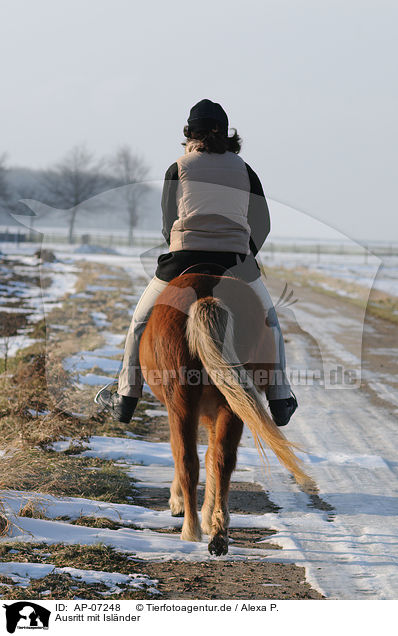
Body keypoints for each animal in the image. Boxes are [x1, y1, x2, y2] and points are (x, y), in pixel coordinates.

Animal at [140, 270, 314, 556]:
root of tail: (205, 293)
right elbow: (212, 457)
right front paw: (210, 517)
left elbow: (186, 454)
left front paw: (180, 503)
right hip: (230, 405)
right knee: (222, 458)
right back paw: (218, 534)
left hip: (181, 400)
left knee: (186, 458)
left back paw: (191, 530)